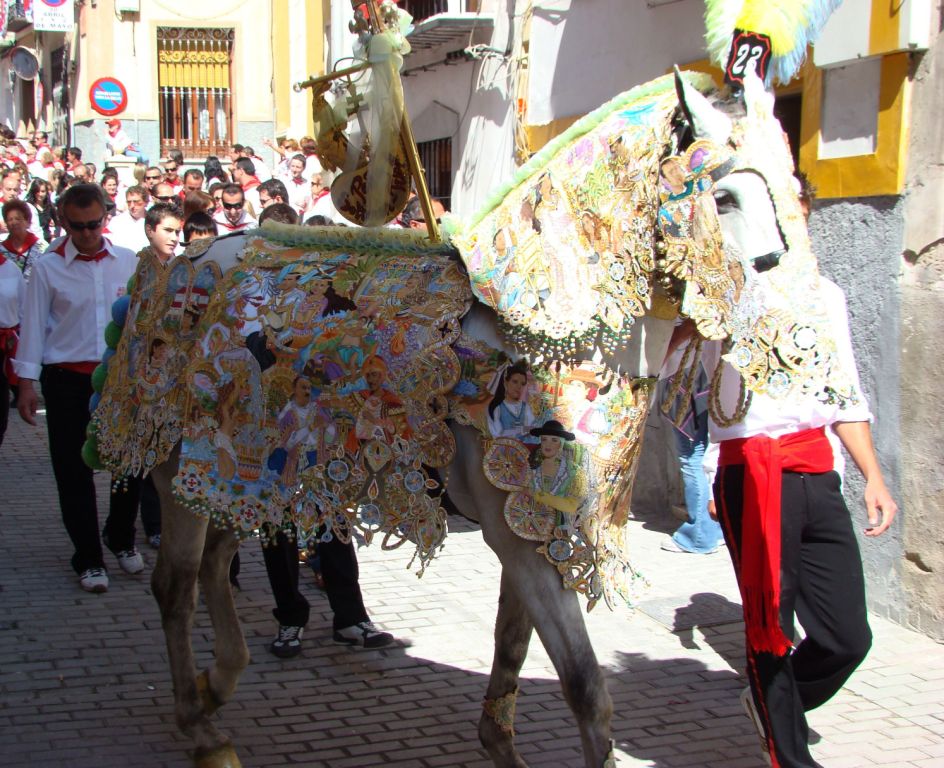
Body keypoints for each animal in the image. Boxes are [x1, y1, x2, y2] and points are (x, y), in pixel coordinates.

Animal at [86, 3, 856, 764]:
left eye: (791, 189)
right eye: (721, 196)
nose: (784, 317)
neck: (540, 320)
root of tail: (180, 263)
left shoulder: (535, 527)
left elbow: (513, 647)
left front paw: (498, 741)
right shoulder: (521, 535)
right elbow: (586, 690)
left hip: (234, 473)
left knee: (213, 568)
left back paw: (219, 683)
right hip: (179, 466)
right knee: (176, 586)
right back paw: (199, 723)